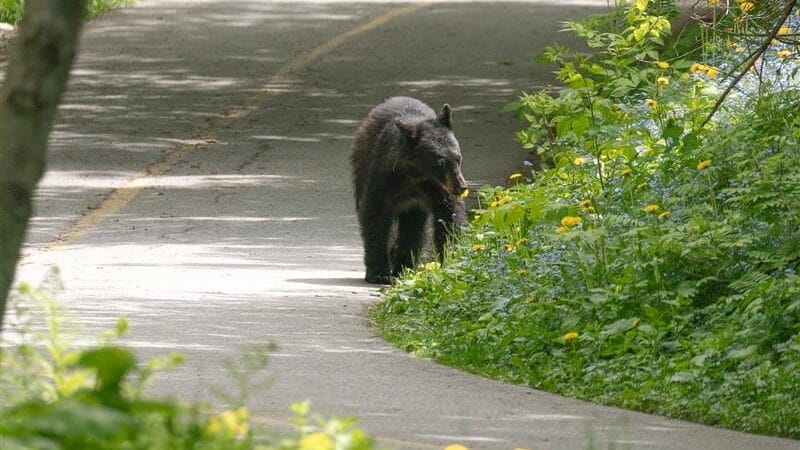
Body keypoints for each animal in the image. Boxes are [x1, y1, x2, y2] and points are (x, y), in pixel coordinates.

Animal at [351, 96, 468, 284]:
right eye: (440, 161)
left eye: (458, 157)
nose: (460, 186)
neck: (416, 175)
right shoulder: (384, 178)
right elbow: (375, 215)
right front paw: (379, 273)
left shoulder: (438, 190)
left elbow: (450, 217)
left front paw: (451, 258)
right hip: (361, 167)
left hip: (414, 208)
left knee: (413, 228)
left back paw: (405, 267)